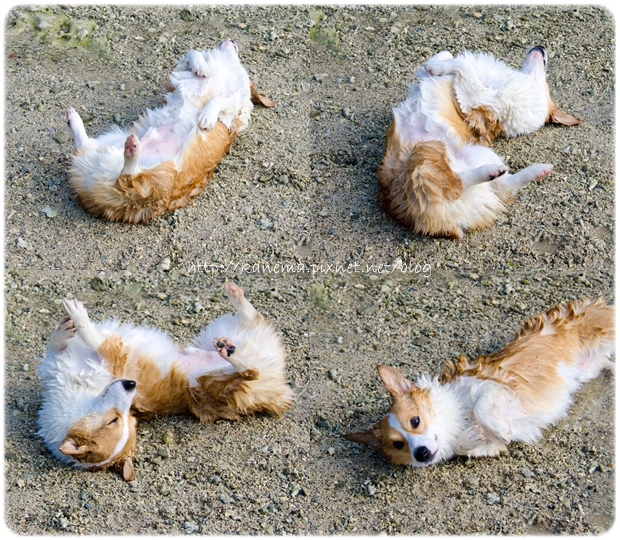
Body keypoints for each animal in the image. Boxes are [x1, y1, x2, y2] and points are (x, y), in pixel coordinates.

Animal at [38, 282, 294, 480]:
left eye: (124, 418)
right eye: (117, 419)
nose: (131, 384)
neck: (83, 396)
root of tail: (276, 392)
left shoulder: (111, 357)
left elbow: (88, 337)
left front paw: (75, 317)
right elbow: (61, 344)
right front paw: (67, 326)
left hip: (221, 379)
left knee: (251, 368)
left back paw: (231, 341)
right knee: (254, 327)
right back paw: (232, 322)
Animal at [66, 40, 274, 224]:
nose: (231, 39)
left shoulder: (237, 105)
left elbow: (219, 99)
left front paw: (207, 116)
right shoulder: (176, 74)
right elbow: (192, 52)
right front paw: (201, 66)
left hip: (157, 179)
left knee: (129, 179)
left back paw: (131, 148)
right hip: (111, 141)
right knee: (85, 147)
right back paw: (73, 118)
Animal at [344, 299, 614, 466]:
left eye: (415, 421)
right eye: (398, 445)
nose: (421, 454)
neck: (456, 417)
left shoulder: (498, 387)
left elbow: (483, 408)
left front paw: (501, 427)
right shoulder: (493, 446)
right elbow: (469, 448)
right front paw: (469, 439)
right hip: (589, 370)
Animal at [377, 46, 581, 238]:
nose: (542, 47)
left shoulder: (478, 97)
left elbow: (462, 64)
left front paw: (435, 67)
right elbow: (448, 54)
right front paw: (434, 64)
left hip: (425, 153)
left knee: (456, 184)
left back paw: (498, 171)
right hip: (476, 153)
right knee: (502, 187)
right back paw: (535, 170)